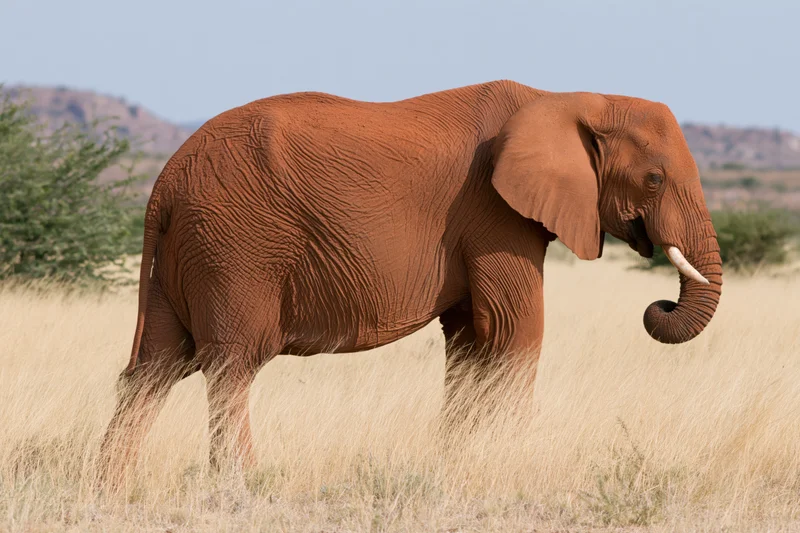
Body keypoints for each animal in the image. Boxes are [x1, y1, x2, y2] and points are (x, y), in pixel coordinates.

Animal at [98, 80, 722, 480]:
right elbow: (515, 331)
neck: (570, 98)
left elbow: (471, 338)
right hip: (235, 247)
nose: (660, 304)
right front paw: (515, 458)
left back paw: (113, 485)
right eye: (654, 179)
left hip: (188, 251)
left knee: (152, 369)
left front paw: (457, 459)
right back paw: (242, 484)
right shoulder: (494, 212)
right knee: (231, 365)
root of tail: (163, 182)